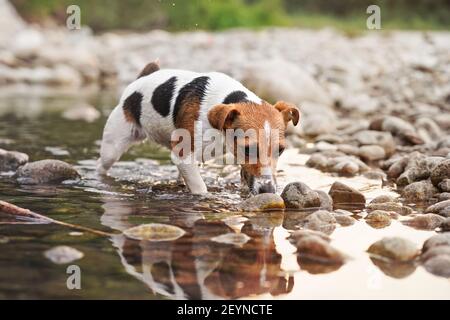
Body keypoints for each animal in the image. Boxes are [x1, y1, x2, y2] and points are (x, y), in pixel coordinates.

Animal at [99, 61, 302, 194]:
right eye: (248, 148)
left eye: (280, 150)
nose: (268, 191)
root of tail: (141, 79)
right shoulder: (183, 156)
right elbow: (200, 188)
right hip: (112, 148)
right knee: (102, 166)